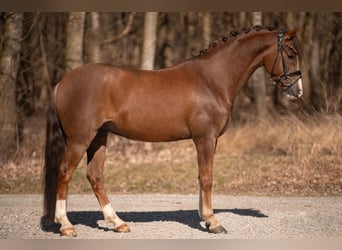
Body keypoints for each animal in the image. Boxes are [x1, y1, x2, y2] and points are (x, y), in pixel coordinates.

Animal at [42, 27, 302, 236]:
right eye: (290, 55)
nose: (297, 91)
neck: (212, 80)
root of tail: (62, 83)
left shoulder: (210, 140)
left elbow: (202, 176)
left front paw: (205, 218)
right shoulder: (204, 138)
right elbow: (207, 178)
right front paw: (213, 222)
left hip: (98, 137)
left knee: (95, 176)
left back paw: (118, 223)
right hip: (80, 139)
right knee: (64, 172)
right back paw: (66, 225)